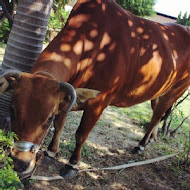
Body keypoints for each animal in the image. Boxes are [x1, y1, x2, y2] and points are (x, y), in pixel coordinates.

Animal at [0, 0, 190, 178]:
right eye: (12, 110)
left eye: (48, 118)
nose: (19, 163)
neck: (92, 45)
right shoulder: (66, 98)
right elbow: (60, 125)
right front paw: (51, 152)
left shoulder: (98, 102)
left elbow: (81, 134)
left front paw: (72, 164)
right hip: (158, 92)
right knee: (157, 114)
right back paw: (150, 139)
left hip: (176, 91)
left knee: (157, 115)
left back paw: (141, 145)